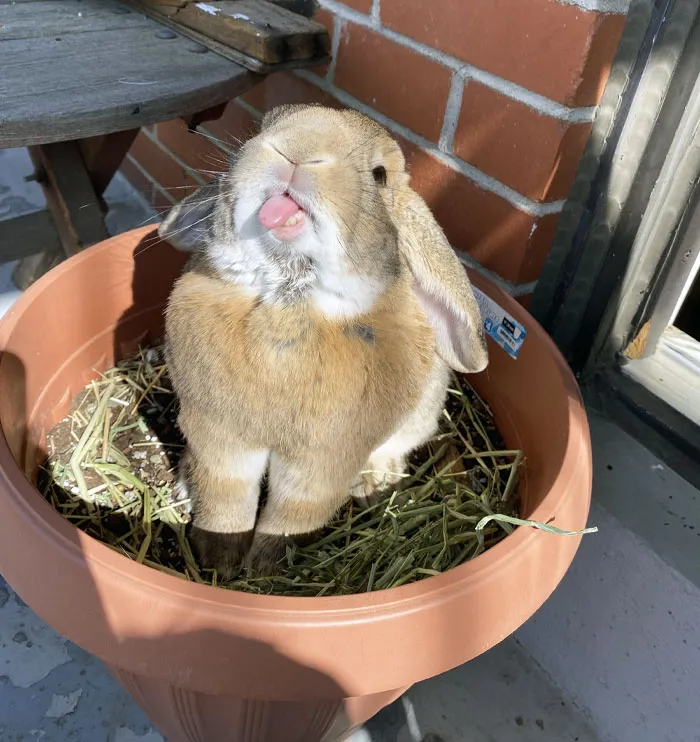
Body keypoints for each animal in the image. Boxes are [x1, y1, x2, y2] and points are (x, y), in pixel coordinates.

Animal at [159, 104, 488, 577]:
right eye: (265, 126)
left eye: (380, 174)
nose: (295, 151)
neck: (287, 300)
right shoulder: (219, 439)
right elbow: (225, 500)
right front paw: (220, 561)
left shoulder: (323, 464)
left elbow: (292, 517)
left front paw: (261, 571)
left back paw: (374, 483)